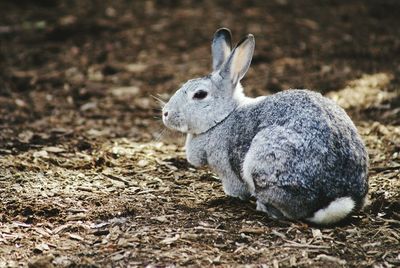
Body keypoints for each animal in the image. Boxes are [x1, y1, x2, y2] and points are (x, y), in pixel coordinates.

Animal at [162, 27, 368, 224]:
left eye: (200, 95)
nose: (165, 113)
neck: (223, 117)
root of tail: (335, 197)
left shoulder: (226, 170)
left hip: (265, 159)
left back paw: (263, 207)